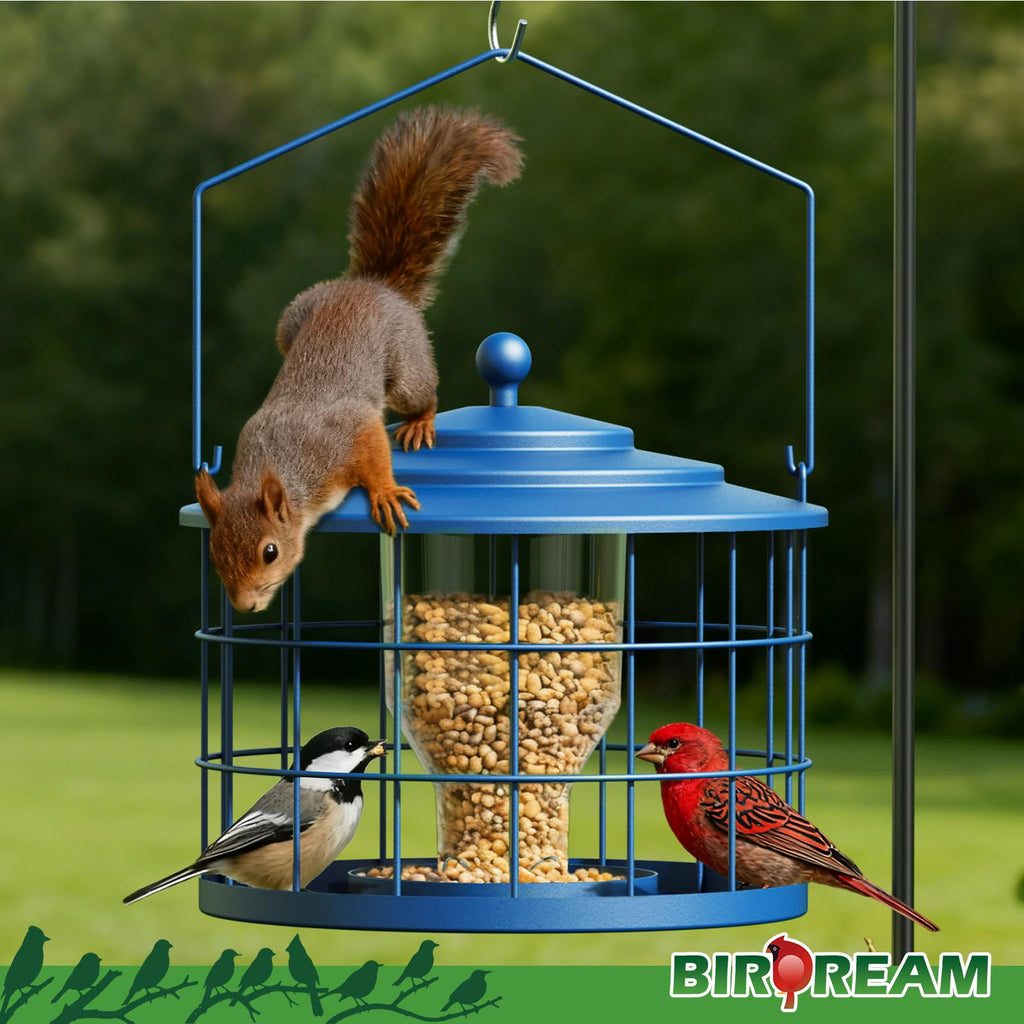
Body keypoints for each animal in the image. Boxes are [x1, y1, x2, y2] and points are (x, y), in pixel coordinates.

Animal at [195, 106, 523, 613]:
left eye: (270, 551)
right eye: (213, 555)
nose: (244, 606)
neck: (284, 469)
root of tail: (375, 284)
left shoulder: (344, 435)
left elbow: (371, 445)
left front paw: (384, 491)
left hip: (406, 364)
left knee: (422, 393)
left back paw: (420, 422)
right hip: (289, 322)